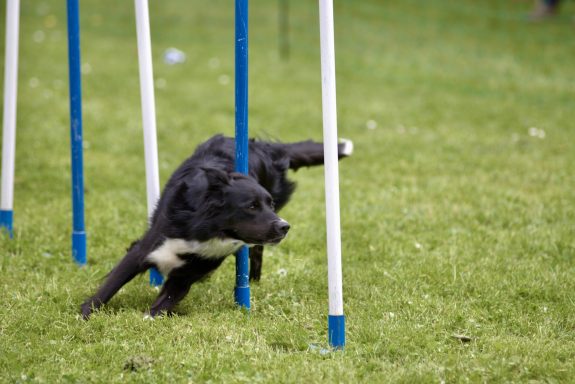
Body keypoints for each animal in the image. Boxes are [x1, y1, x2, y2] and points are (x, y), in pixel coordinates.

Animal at [80, 135, 352, 318]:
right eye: (251, 206)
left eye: (270, 204)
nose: (285, 227)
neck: (208, 229)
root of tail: (265, 147)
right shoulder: (145, 249)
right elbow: (110, 285)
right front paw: (84, 313)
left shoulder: (192, 271)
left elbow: (165, 300)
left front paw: (147, 319)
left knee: (257, 252)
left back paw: (252, 283)